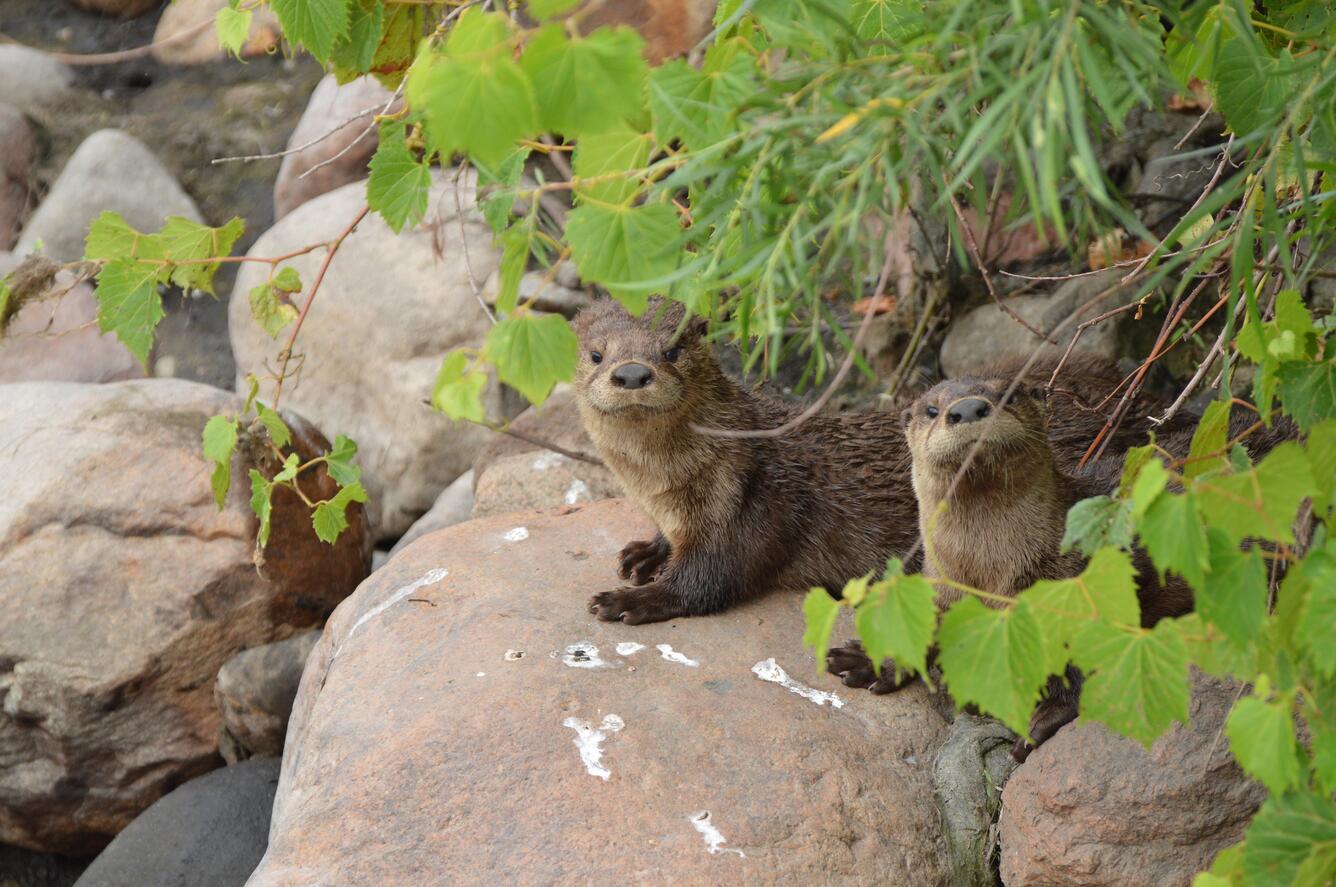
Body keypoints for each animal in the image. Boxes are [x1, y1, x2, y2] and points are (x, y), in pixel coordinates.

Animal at [571, 298, 1183, 626]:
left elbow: (706, 583)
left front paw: (628, 600)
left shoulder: (751, 505)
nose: (631, 372)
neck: (671, 487)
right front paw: (645, 552)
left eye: (671, 350)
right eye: (596, 354)